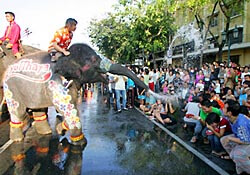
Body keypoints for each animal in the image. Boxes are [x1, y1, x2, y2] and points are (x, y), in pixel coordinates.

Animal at [0, 42, 150, 145]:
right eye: (94, 60)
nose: (147, 90)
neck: (66, 55)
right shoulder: (55, 83)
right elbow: (68, 108)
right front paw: (80, 143)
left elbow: (72, 108)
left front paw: (60, 129)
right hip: (11, 89)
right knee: (18, 112)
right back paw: (17, 139)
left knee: (39, 110)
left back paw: (46, 132)